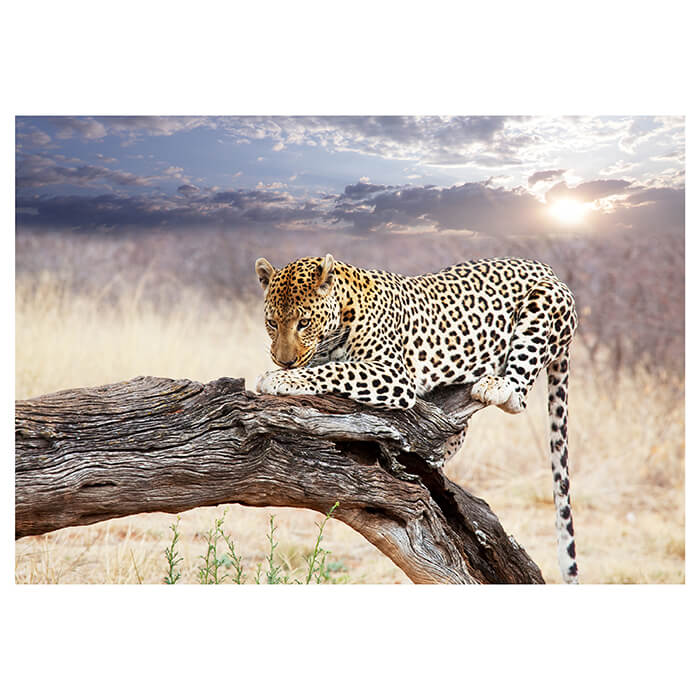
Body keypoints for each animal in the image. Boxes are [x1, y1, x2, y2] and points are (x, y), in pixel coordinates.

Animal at [254, 253, 579, 583]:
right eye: (272, 323)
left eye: (304, 323)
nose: (284, 361)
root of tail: (546, 267)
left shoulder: (392, 374)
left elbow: (335, 370)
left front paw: (280, 378)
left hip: (544, 302)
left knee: (518, 395)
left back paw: (495, 386)